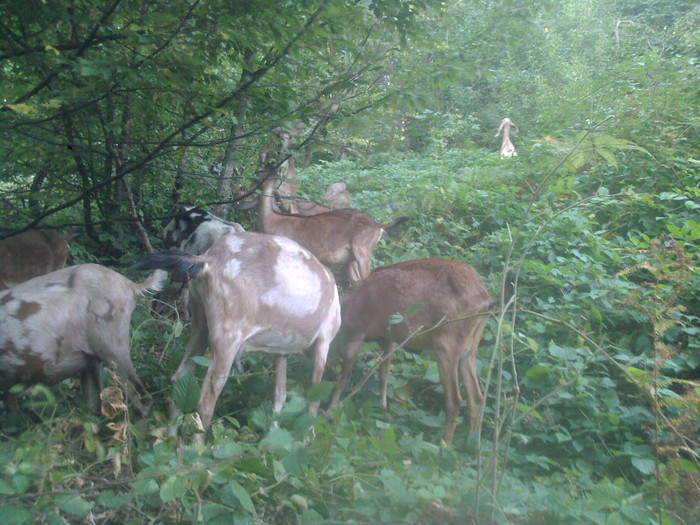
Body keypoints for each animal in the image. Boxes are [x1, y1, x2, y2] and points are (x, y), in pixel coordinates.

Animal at [135, 231, 340, 436]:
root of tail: (209, 259)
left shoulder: (281, 350)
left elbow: (279, 394)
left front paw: (273, 434)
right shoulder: (324, 343)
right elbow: (314, 399)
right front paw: (308, 437)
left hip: (200, 322)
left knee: (180, 378)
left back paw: (170, 439)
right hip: (227, 336)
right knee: (206, 402)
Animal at [326, 258, 512, 446]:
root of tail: (486, 299)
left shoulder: (358, 331)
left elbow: (344, 375)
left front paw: (331, 410)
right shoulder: (390, 338)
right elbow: (384, 371)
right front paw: (383, 405)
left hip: (446, 344)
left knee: (454, 399)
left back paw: (444, 445)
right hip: (469, 348)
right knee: (475, 396)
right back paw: (470, 443)